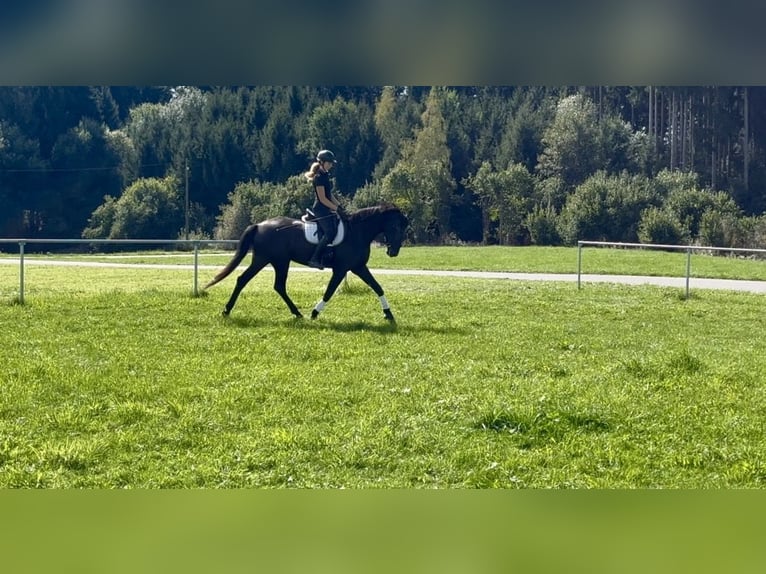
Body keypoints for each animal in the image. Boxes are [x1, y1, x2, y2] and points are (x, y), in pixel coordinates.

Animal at [203, 203, 408, 321]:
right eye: (396, 227)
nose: (393, 252)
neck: (357, 231)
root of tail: (259, 225)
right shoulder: (341, 269)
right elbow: (329, 291)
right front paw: (315, 313)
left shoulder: (358, 267)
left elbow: (377, 287)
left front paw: (388, 314)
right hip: (268, 260)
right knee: (245, 280)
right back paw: (227, 310)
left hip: (278, 261)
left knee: (277, 286)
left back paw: (296, 312)